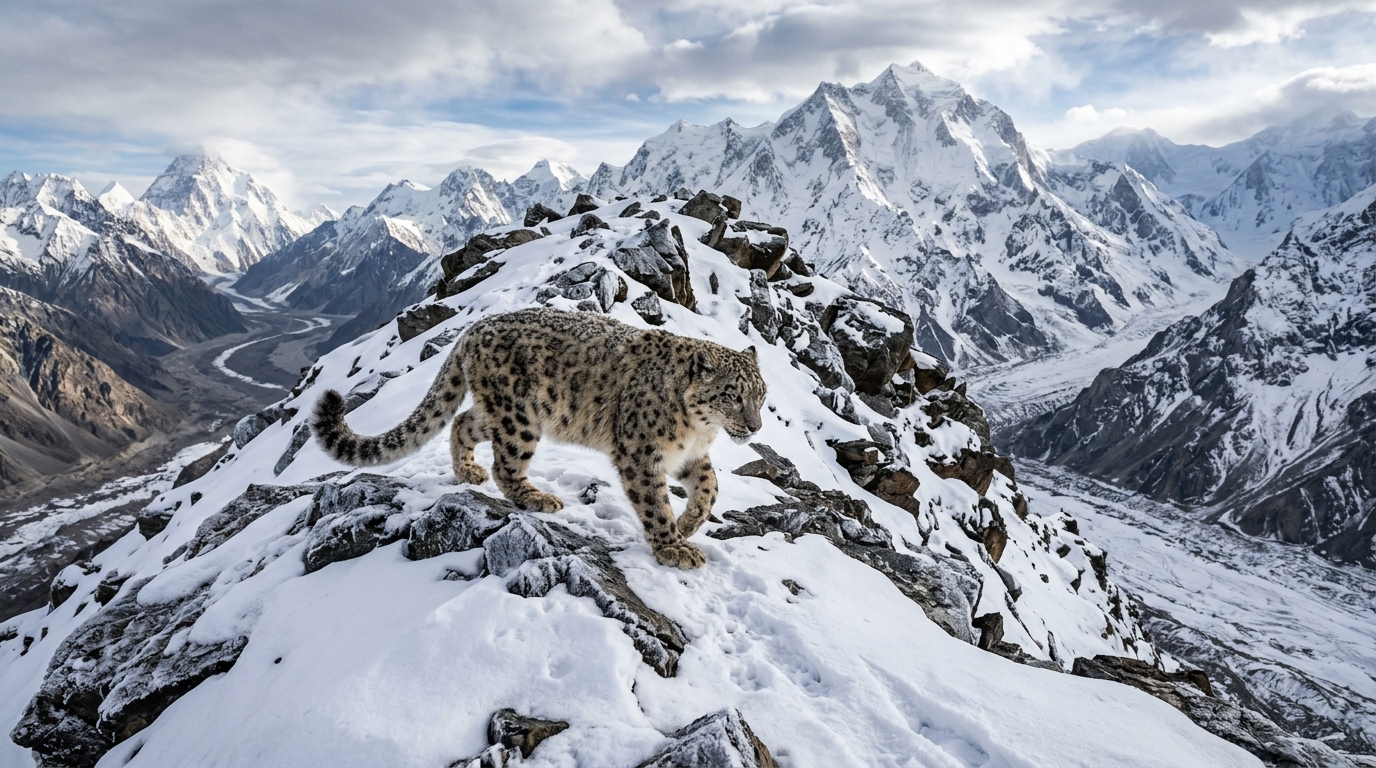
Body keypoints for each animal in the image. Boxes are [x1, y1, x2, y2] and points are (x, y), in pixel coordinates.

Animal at [311, 307, 767, 569]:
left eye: (761, 395)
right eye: (732, 395)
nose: (756, 426)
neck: (698, 430)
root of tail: (473, 329)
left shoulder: (690, 456)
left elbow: (710, 486)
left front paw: (688, 525)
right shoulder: (641, 452)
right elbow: (654, 502)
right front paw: (674, 547)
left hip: (505, 412)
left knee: (463, 422)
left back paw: (468, 471)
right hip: (520, 417)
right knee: (505, 463)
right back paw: (537, 497)